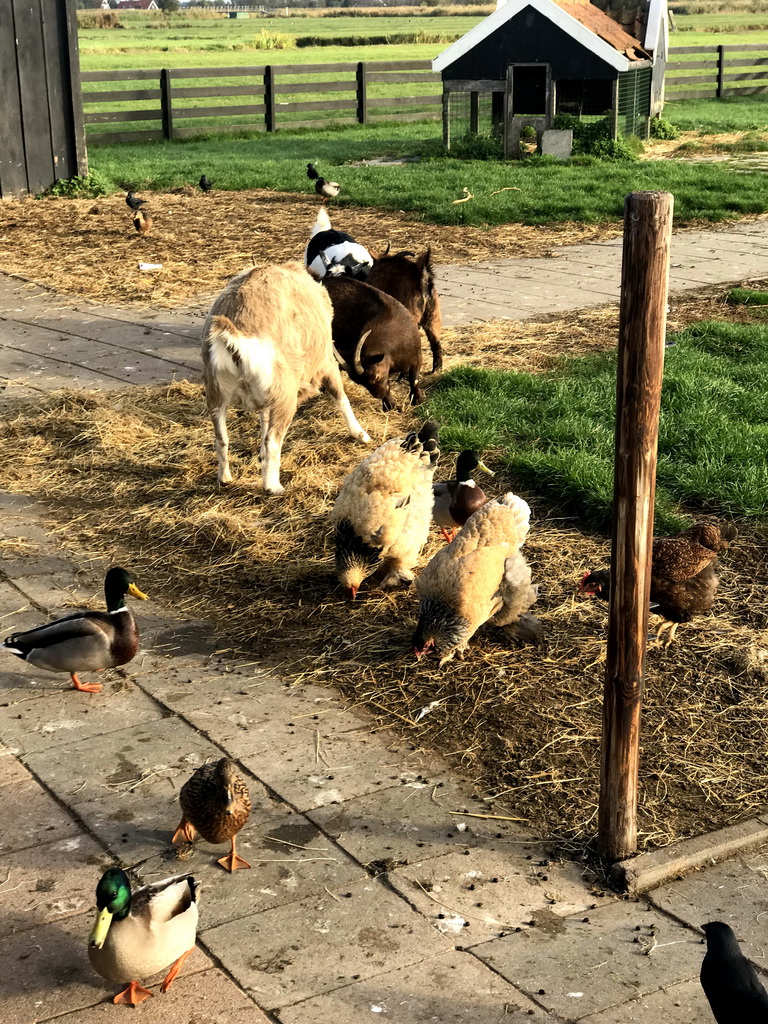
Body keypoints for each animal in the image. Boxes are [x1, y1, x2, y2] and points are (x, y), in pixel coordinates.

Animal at [201, 260, 370, 491]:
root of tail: (236, 337)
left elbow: (263, 420)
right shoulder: (326, 360)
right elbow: (340, 396)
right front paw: (361, 434)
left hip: (216, 393)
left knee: (221, 438)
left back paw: (225, 478)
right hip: (285, 395)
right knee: (273, 439)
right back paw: (273, 487)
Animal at [321, 278, 423, 413]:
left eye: (375, 376)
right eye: (361, 383)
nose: (379, 395)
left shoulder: (416, 357)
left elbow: (414, 380)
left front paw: (417, 400)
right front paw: (389, 406)